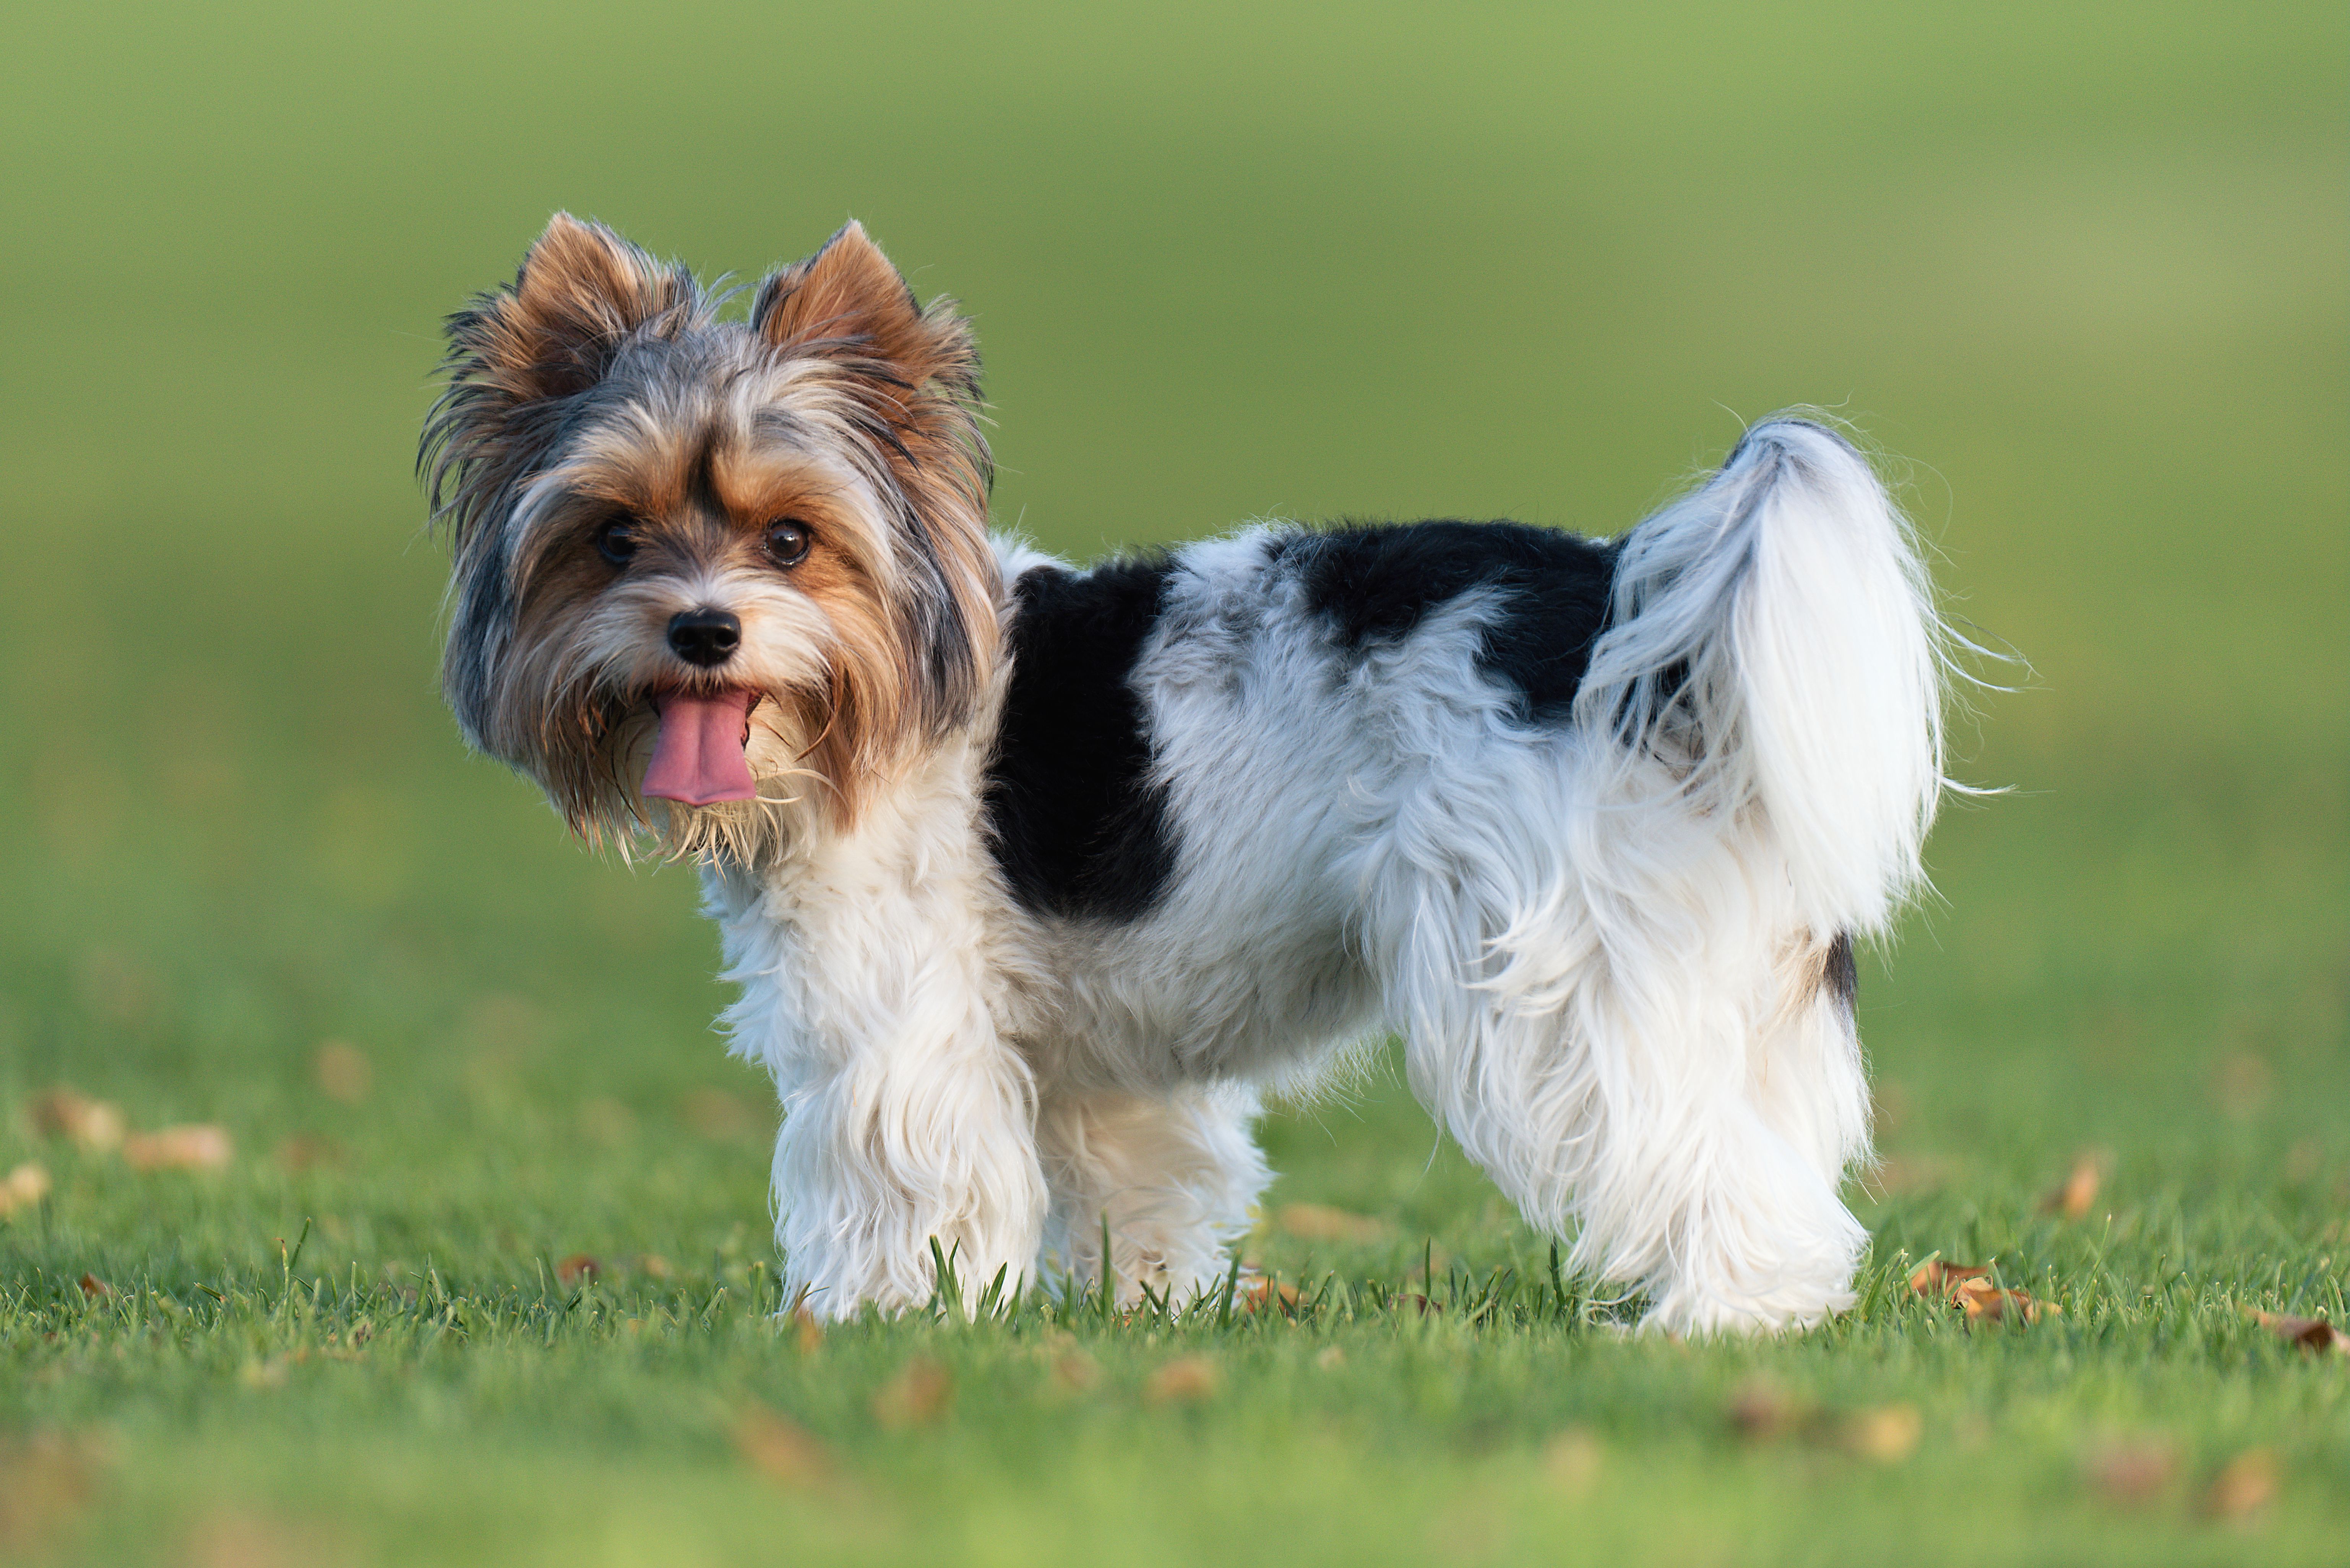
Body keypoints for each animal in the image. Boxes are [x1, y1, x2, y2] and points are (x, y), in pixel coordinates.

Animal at [418, 215, 1946, 1335]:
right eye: (615, 539)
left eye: (790, 539)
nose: (700, 629)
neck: (887, 687)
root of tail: (1626, 613)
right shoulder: (1100, 1066)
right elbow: (1134, 1189)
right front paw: (1134, 1312)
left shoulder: (897, 1015)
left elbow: (893, 1171)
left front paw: (869, 1320)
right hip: (1723, 975)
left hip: (1547, 981)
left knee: (1709, 1164)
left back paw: (1723, 1321)